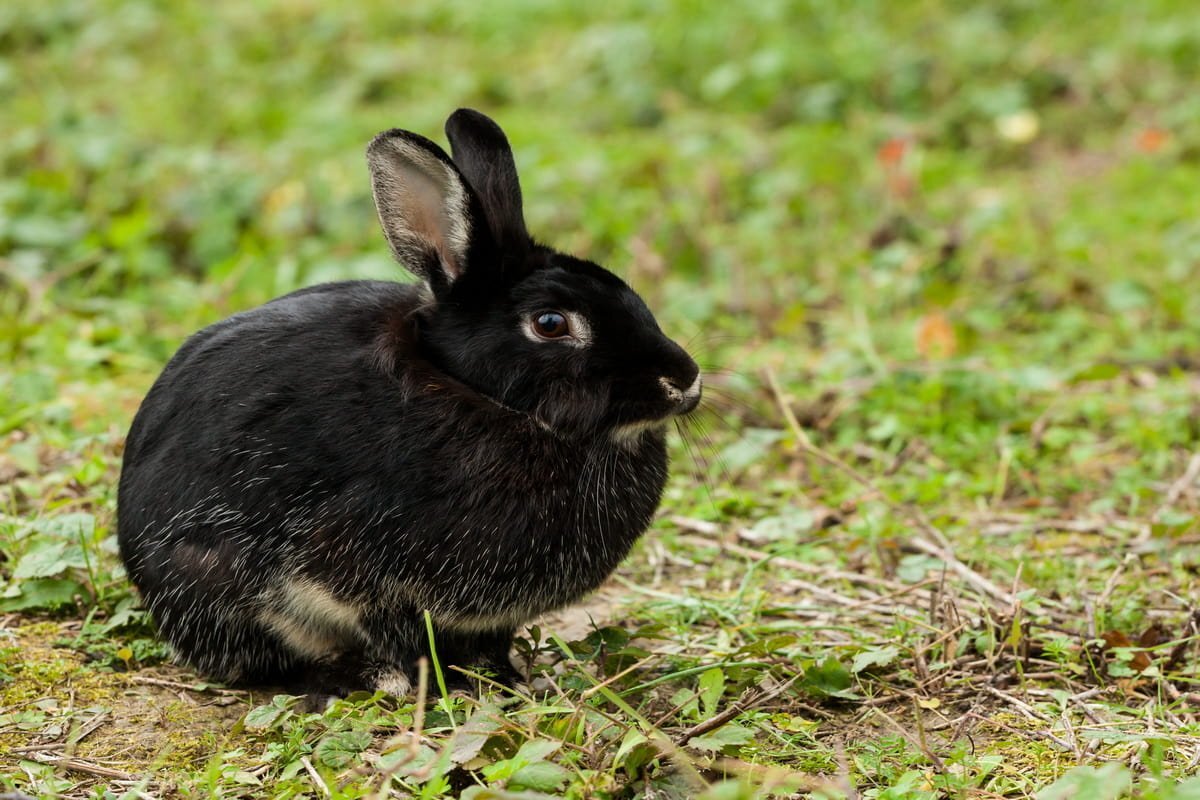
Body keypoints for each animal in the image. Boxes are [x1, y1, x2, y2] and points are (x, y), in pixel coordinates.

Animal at [117, 109, 700, 695]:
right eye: (551, 323)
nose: (684, 380)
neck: (485, 398)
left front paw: (509, 680)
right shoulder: (360, 572)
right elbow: (399, 633)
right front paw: (440, 687)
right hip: (211, 580)